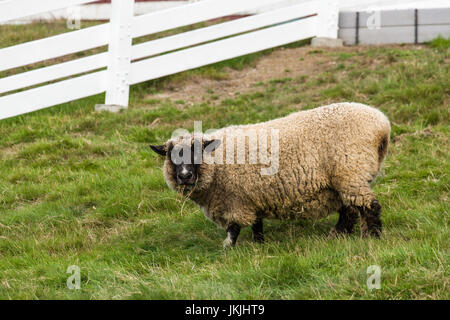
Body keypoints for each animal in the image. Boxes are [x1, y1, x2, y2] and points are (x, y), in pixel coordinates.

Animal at [151, 102, 390, 248]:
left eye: (196, 152)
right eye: (171, 156)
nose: (185, 176)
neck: (217, 161)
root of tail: (382, 125)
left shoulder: (234, 199)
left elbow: (233, 227)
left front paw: (228, 247)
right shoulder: (250, 196)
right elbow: (256, 223)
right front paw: (259, 244)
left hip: (350, 171)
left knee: (368, 206)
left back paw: (373, 237)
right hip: (345, 177)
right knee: (349, 209)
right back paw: (338, 235)